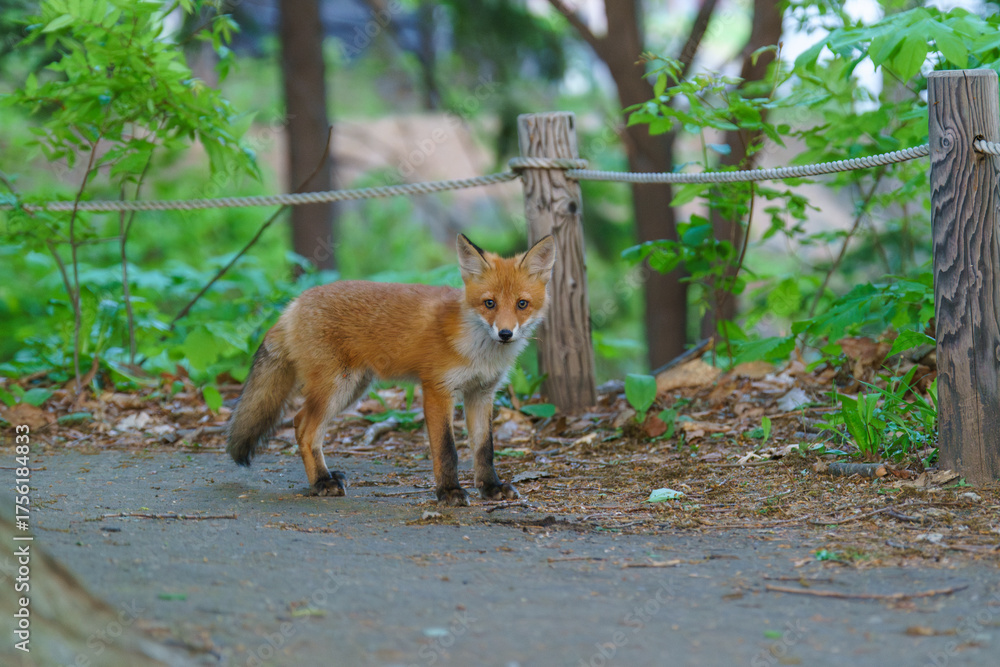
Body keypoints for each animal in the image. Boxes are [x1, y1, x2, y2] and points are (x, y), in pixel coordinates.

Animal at [226, 234, 556, 506]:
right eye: (489, 303)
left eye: (522, 304)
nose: (505, 333)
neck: (478, 350)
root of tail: (294, 303)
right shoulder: (437, 390)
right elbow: (447, 450)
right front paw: (449, 492)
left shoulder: (482, 393)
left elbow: (484, 448)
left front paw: (490, 487)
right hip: (337, 387)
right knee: (304, 428)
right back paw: (320, 483)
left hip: (352, 389)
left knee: (301, 424)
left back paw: (326, 476)